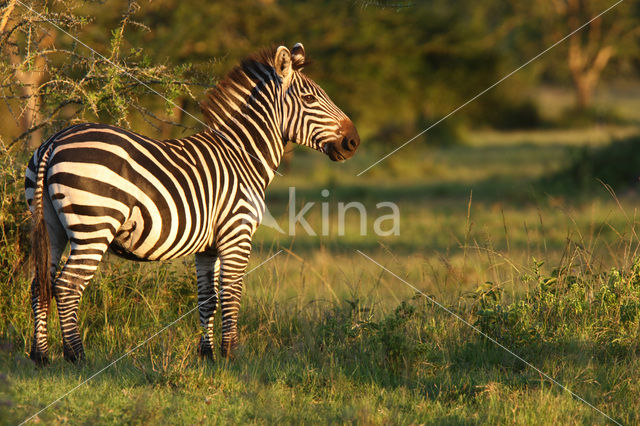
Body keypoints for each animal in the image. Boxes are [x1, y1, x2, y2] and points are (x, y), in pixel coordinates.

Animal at [25, 43, 360, 364]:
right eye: (310, 98)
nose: (353, 142)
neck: (243, 156)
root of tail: (53, 141)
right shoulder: (237, 234)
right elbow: (231, 293)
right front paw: (231, 356)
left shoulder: (208, 246)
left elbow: (207, 297)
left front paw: (207, 354)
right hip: (94, 225)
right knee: (67, 286)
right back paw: (77, 357)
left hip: (50, 225)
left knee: (40, 284)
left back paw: (41, 356)